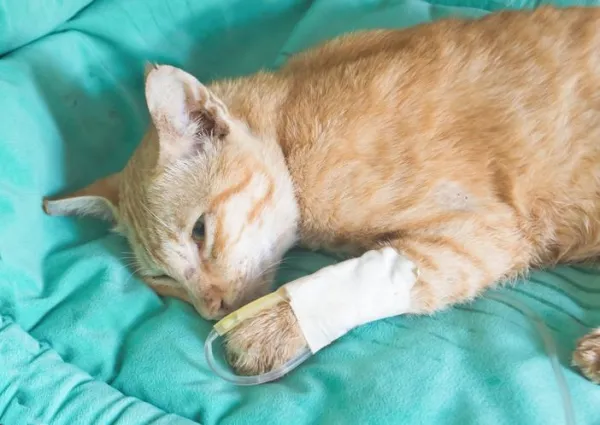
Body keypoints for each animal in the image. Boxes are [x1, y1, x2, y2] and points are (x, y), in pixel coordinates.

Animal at [44, 4, 600, 380]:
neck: (290, 124)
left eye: (200, 232)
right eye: (161, 278)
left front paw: (272, 327)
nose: (212, 308)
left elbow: (385, 277)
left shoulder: (487, 230)